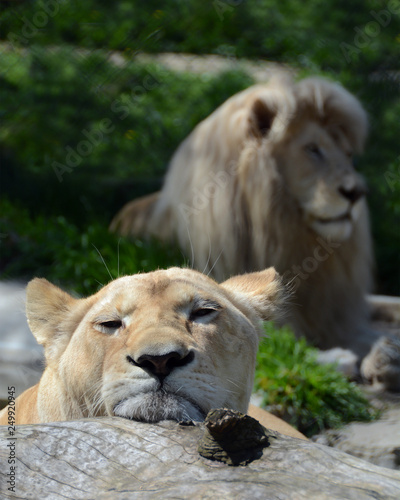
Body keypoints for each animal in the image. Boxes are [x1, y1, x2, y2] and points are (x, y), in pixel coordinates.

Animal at [110, 76, 400, 388]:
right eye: (312, 149)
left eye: (347, 155)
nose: (357, 192)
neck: (291, 235)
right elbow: (280, 350)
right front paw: (344, 359)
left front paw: (386, 356)